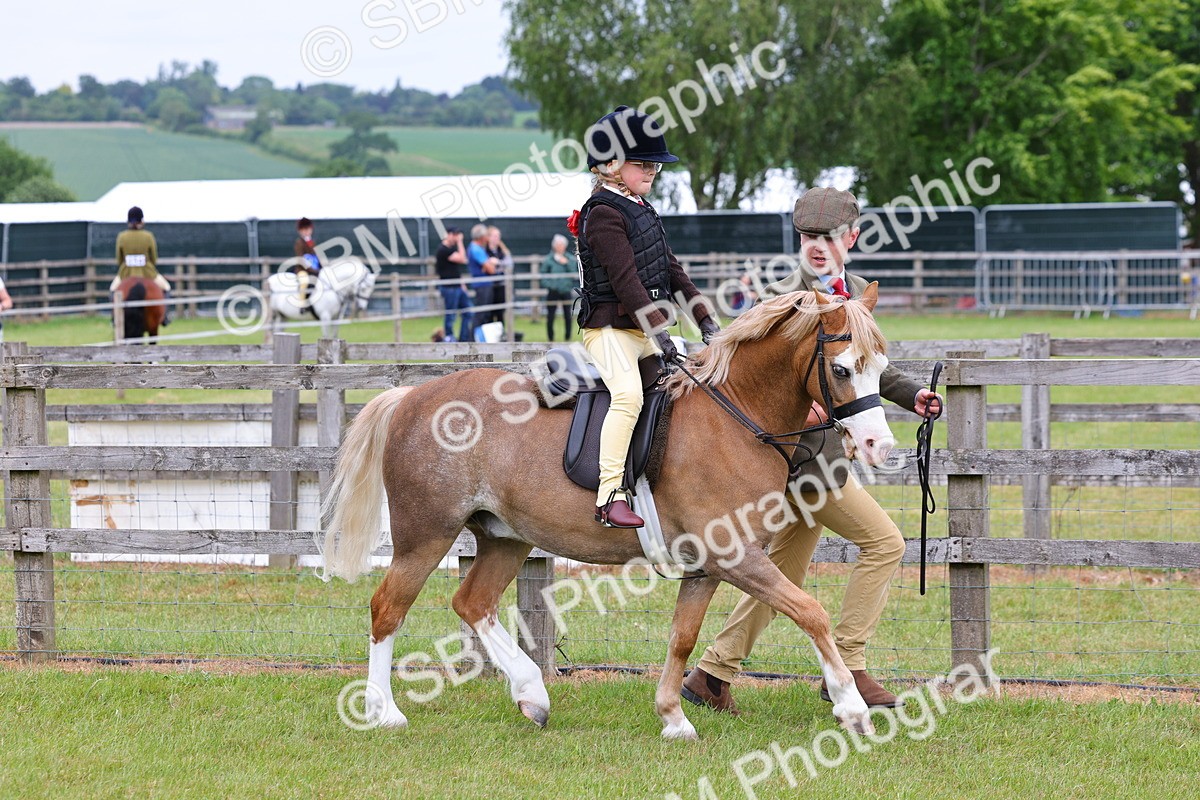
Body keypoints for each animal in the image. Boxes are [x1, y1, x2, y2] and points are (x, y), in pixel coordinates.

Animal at [320, 286, 896, 739]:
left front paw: (673, 719)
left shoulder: (707, 567)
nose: (878, 446)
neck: (735, 414)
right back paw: (385, 712)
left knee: (473, 602)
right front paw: (851, 707)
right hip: (426, 535)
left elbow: (683, 637)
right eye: (841, 368)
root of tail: (412, 395)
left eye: (881, 369)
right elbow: (810, 612)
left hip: (506, 537)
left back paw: (532, 695)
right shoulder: (735, 556)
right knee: (388, 609)